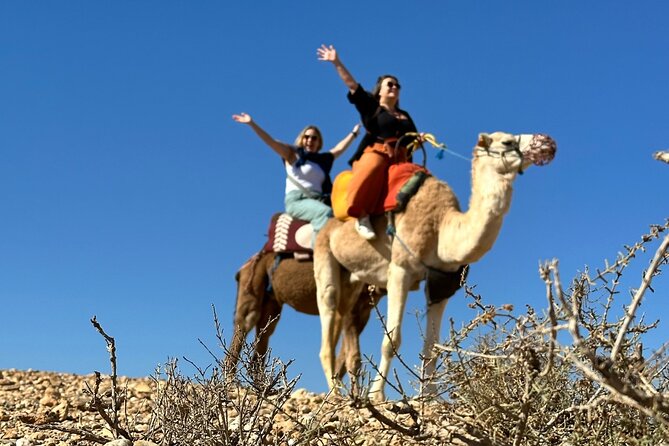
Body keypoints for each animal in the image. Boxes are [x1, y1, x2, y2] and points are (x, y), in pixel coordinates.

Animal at [314, 131, 557, 401]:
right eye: (507, 141)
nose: (547, 142)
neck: (442, 228)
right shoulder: (400, 269)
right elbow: (392, 340)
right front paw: (377, 395)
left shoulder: (443, 285)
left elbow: (432, 345)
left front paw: (431, 396)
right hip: (324, 255)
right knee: (328, 310)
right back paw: (335, 394)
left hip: (353, 278)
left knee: (342, 314)